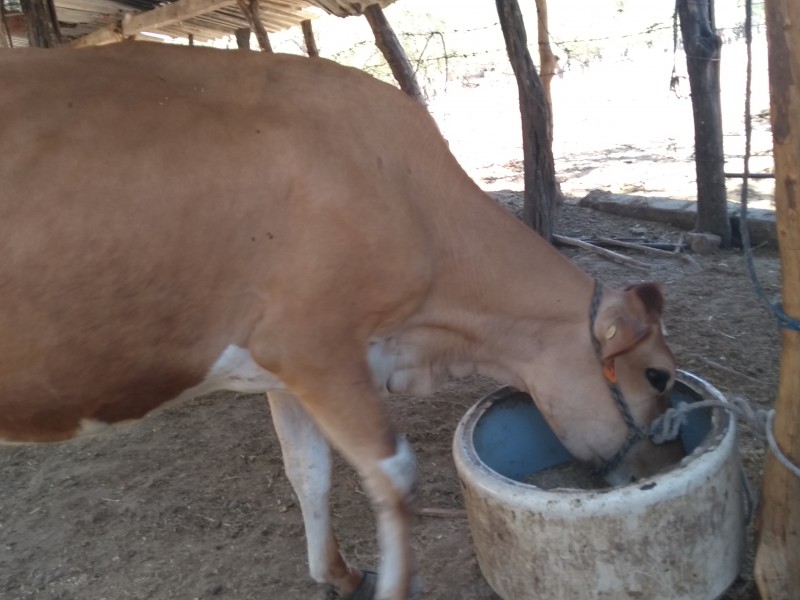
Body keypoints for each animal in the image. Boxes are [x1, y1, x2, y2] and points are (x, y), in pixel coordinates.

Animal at [1, 43, 680, 600]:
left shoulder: (280, 369)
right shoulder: (315, 347)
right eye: (658, 377)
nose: (656, 471)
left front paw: (339, 574)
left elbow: (309, 471)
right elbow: (393, 474)